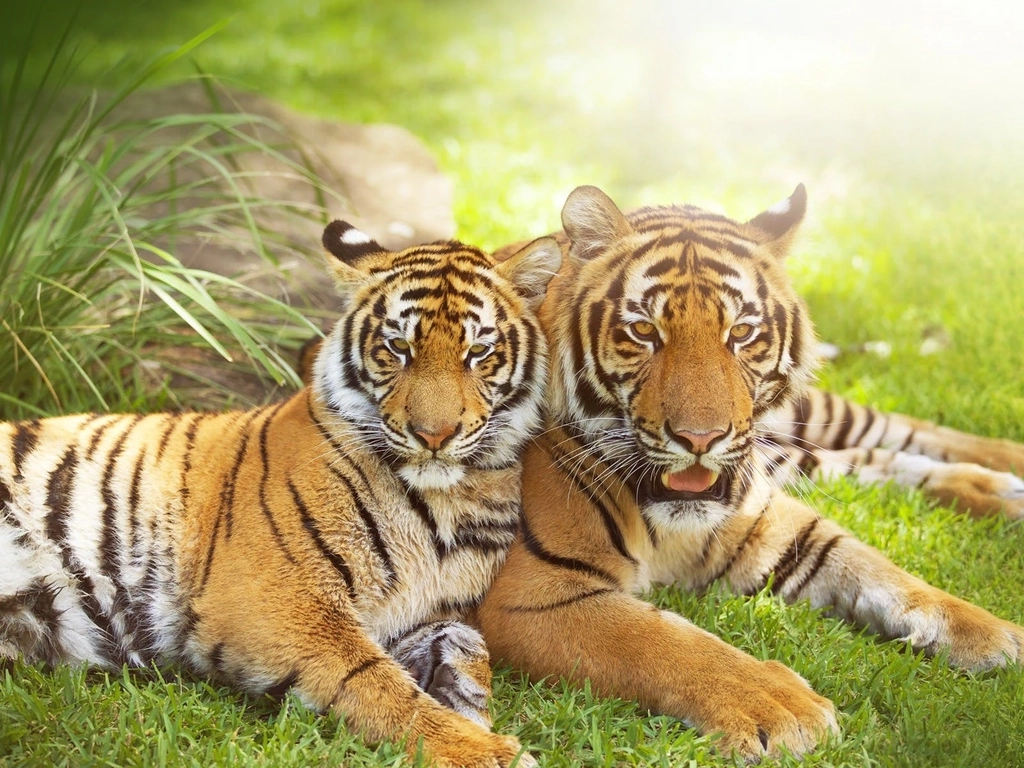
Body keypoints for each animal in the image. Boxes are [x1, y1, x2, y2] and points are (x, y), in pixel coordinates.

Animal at [0, 221, 561, 768]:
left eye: (478, 352)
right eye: (398, 348)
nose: (434, 435)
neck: (448, 501)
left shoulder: (423, 614)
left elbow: (470, 648)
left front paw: (465, 699)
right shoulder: (277, 598)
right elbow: (377, 683)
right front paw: (484, 750)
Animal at [473, 185, 1024, 765]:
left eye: (740, 333)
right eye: (644, 331)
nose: (699, 439)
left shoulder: (771, 522)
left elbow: (880, 570)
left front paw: (994, 633)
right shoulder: (531, 593)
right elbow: (661, 639)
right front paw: (780, 707)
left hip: (807, 418)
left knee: (889, 426)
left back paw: (1007, 468)